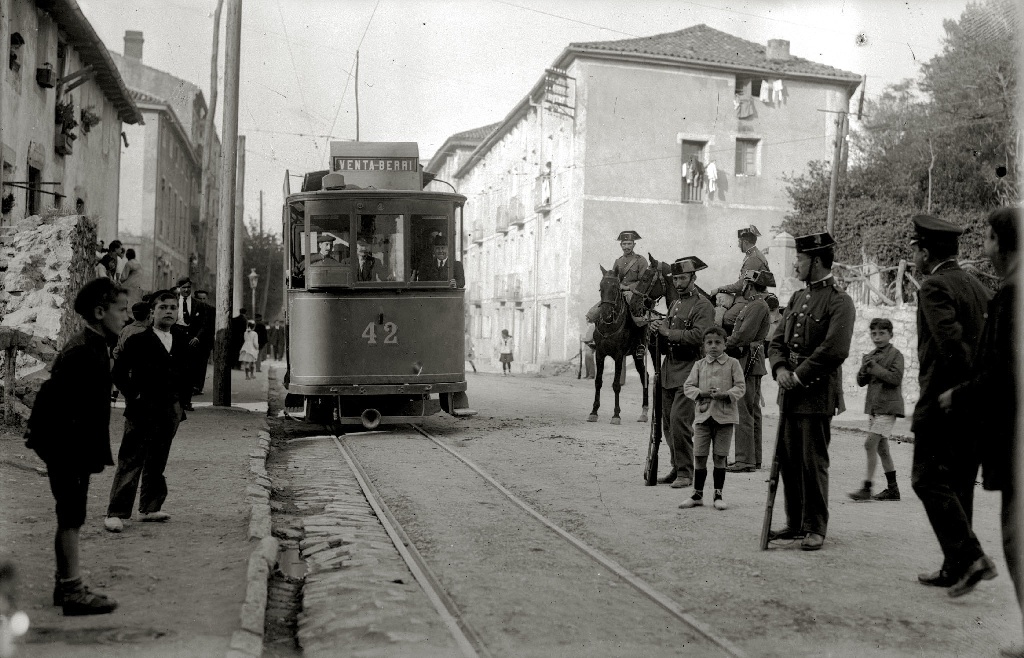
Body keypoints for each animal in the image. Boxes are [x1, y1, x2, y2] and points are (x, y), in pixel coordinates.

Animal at [587, 255, 676, 425]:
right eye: (601, 288)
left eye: (615, 288)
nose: (606, 313)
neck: (609, 325)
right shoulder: (600, 354)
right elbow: (598, 382)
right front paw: (594, 412)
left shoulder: (618, 355)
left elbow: (616, 384)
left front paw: (616, 415)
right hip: (636, 355)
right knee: (644, 376)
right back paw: (644, 412)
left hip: (645, 352)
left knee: (647, 376)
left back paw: (647, 412)